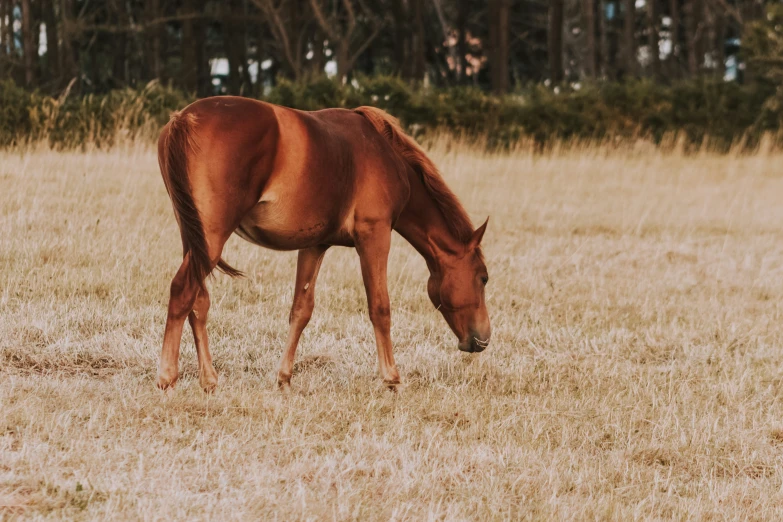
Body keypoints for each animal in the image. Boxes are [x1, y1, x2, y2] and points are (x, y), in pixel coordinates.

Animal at [156, 96, 494, 390]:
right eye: (483, 278)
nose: (483, 339)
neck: (386, 155)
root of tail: (183, 119)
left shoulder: (314, 245)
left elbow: (301, 310)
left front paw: (284, 377)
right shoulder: (374, 235)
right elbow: (380, 307)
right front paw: (392, 378)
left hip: (196, 241)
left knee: (198, 301)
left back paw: (208, 380)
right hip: (212, 240)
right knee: (183, 291)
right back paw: (167, 376)